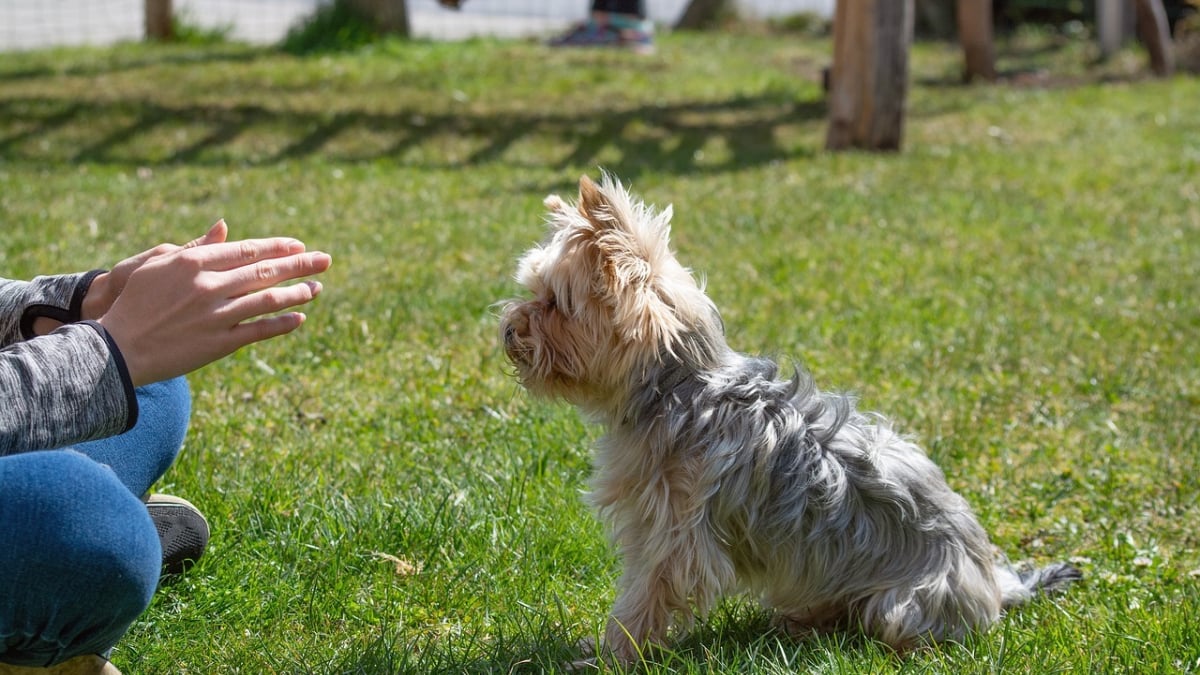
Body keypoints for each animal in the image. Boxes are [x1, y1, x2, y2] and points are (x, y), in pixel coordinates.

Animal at [501, 172, 1084, 662]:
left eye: (553, 303)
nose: (507, 328)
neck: (678, 387)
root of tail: (995, 585)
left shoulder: (675, 535)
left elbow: (645, 597)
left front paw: (613, 655)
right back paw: (803, 622)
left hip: (903, 604)